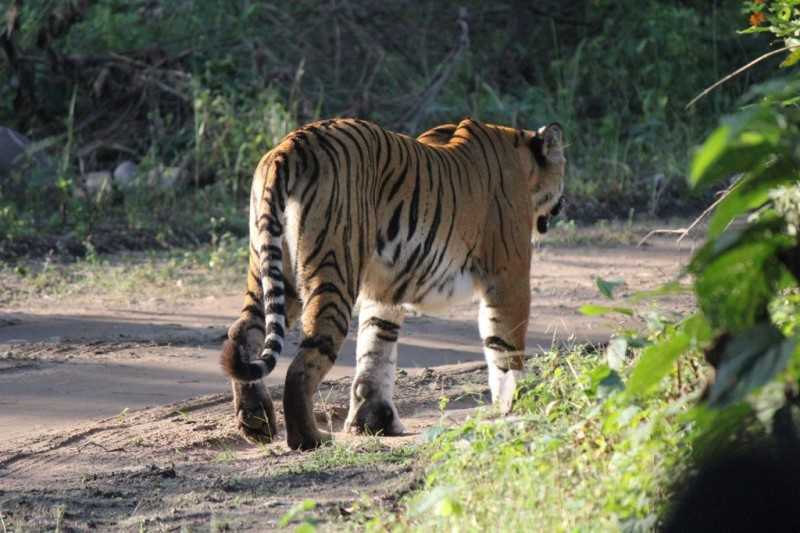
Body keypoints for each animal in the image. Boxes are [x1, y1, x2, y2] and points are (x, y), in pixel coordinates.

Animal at [219, 116, 564, 448]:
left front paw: (371, 422)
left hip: (272, 268)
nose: (563, 205)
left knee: (244, 331)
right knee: (307, 355)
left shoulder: (384, 287)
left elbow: (376, 348)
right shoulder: (508, 277)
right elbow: (504, 347)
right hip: (333, 270)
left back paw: (255, 422)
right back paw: (309, 439)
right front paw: (517, 406)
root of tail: (291, 145)